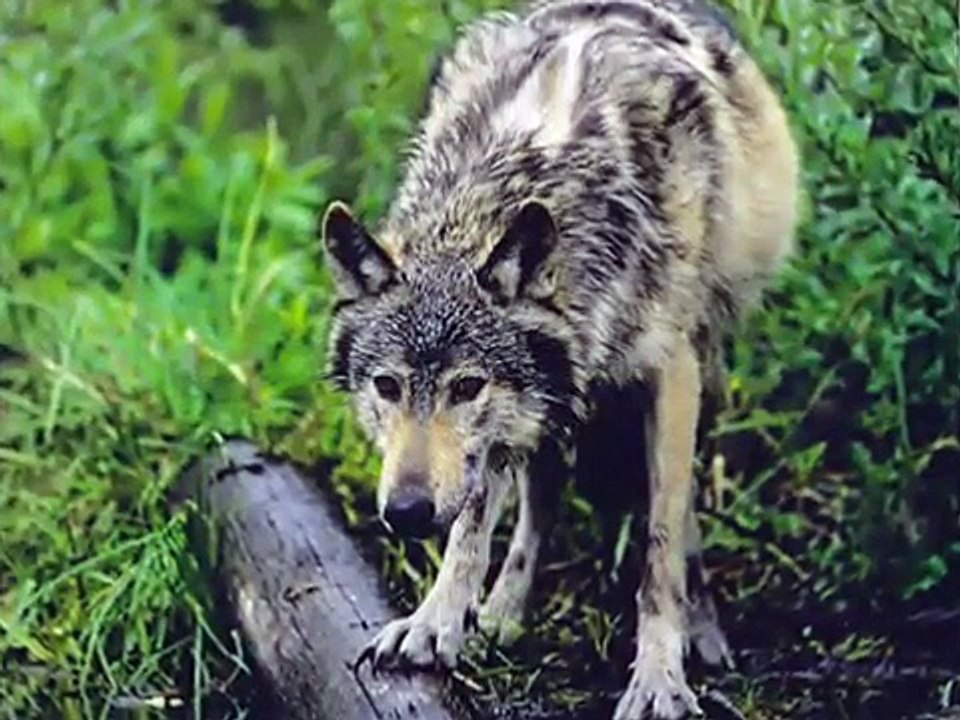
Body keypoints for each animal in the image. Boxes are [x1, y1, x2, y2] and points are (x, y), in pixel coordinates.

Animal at [321, 0, 798, 716]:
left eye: (467, 386)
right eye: (386, 386)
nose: (404, 513)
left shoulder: (669, 372)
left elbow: (659, 547)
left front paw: (660, 677)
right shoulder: (500, 430)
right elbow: (472, 528)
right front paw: (436, 624)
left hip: (702, 362)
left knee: (681, 514)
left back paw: (703, 632)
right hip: (540, 409)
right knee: (537, 495)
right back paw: (502, 614)